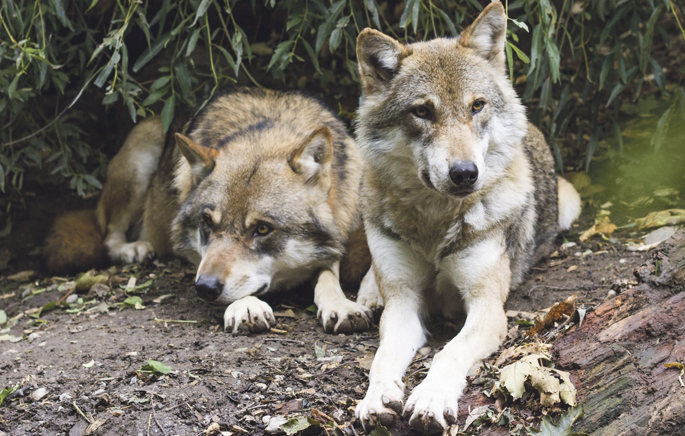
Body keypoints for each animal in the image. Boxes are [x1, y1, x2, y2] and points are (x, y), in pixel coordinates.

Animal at [44, 87, 382, 334]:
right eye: (207, 222)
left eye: (262, 228)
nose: (204, 288)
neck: (269, 128)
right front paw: (247, 305)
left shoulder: (345, 229)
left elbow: (331, 271)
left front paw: (341, 304)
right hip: (142, 153)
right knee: (108, 235)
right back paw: (134, 249)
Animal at [352, 2, 584, 432]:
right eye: (422, 111)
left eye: (476, 106)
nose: (464, 173)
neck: (434, 223)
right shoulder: (404, 304)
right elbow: (383, 358)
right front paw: (375, 399)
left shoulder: (487, 307)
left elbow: (450, 352)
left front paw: (430, 398)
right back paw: (367, 295)